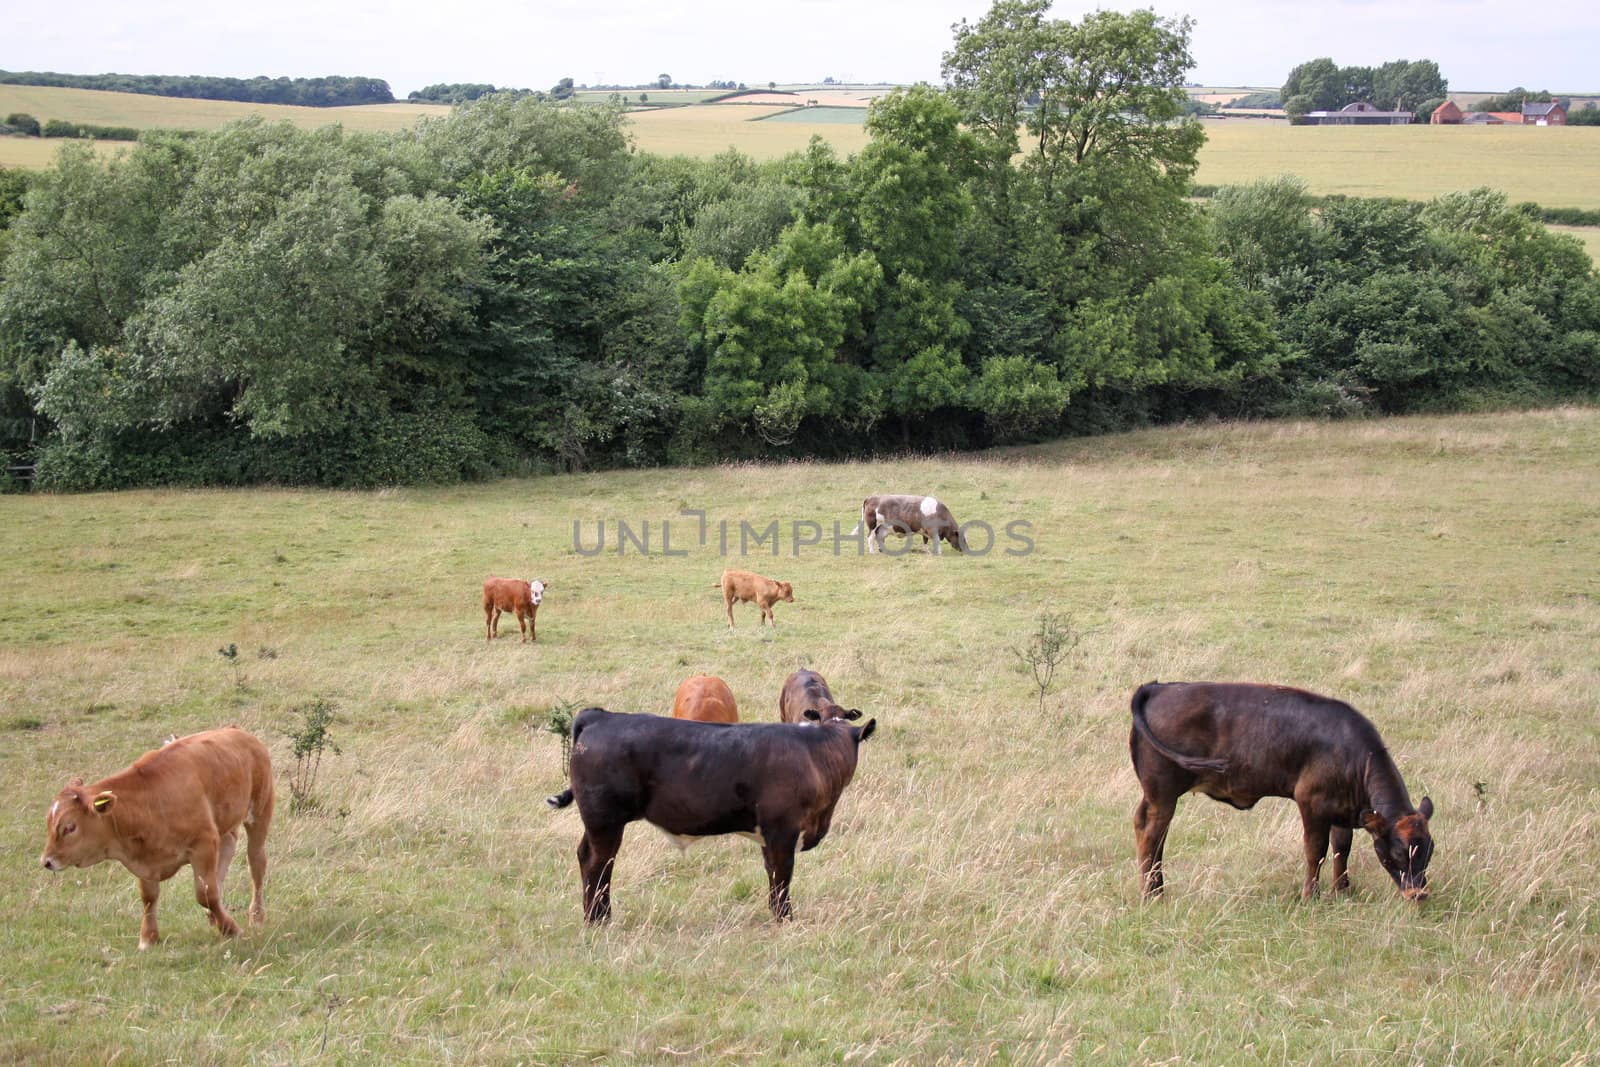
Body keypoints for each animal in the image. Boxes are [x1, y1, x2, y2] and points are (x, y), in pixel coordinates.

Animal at [39, 726, 275, 953]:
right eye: (49, 822)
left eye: (70, 827)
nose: (47, 861)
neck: (150, 800)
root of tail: (238, 732)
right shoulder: (144, 859)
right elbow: (149, 898)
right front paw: (148, 938)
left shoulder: (203, 845)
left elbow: (205, 894)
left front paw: (231, 929)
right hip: (226, 826)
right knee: (227, 852)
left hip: (259, 812)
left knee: (256, 863)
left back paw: (256, 915)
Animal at [547, 703, 876, 921]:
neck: (815, 753)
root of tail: (601, 716)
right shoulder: (782, 829)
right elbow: (783, 876)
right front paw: (785, 918)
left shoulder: (767, 836)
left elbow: (771, 874)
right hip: (605, 820)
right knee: (598, 862)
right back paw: (598, 919)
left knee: (587, 856)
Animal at [1126, 684, 1440, 902]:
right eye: (1398, 852)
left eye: (1429, 851)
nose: (1418, 894)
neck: (1352, 753)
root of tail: (1160, 687)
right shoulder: (1311, 803)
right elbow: (1316, 851)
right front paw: (1311, 896)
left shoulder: (1342, 811)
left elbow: (1342, 848)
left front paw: (1342, 890)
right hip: (1163, 794)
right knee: (1151, 832)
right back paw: (1152, 894)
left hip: (1156, 795)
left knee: (1150, 830)